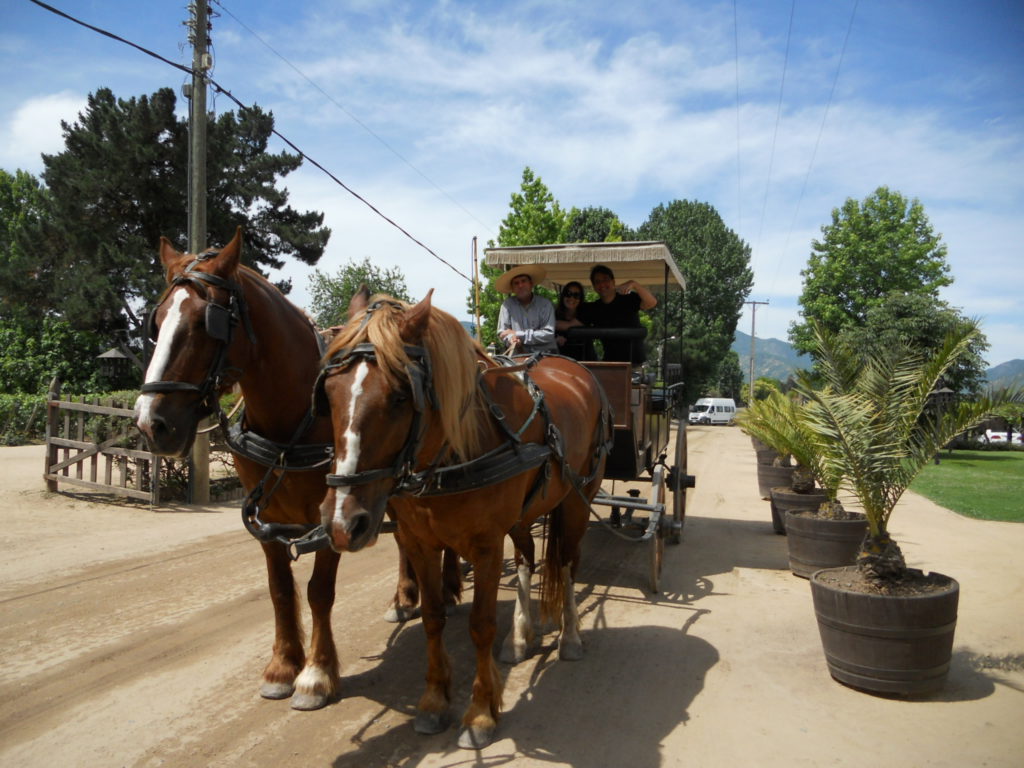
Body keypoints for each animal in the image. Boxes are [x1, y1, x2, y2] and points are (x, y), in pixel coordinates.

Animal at [317, 290, 606, 753]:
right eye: (327, 393)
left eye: (401, 396)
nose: (344, 522)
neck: (456, 447)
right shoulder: (419, 542)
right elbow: (434, 617)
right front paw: (434, 703)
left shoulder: (486, 546)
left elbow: (481, 625)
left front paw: (481, 713)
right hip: (524, 514)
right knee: (526, 559)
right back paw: (521, 636)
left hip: (579, 499)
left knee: (566, 563)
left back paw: (570, 637)